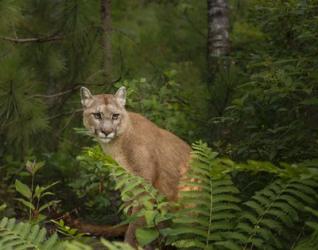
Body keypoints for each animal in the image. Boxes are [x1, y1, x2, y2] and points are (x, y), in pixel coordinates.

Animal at [80, 87, 190, 247]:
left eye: (115, 116)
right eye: (97, 115)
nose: (106, 132)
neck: (116, 146)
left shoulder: (144, 187)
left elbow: (136, 223)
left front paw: (129, 245)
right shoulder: (127, 186)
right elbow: (131, 216)